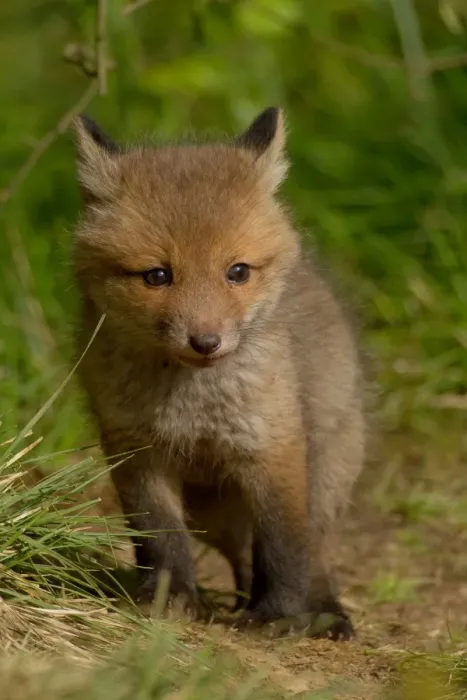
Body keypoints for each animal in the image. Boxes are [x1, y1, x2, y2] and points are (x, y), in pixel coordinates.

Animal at [71, 107, 365, 640]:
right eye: (157, 276)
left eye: (238, 272)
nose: (206, 342)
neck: (195, 407)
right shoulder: (137, 453)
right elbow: (160, 540)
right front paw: (167, 599)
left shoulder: (273, 449)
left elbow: (284, 548)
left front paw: (279, 616)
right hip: (212, 511)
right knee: (243, 557)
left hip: (323, 483)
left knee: (313, 555)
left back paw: (324, 613)